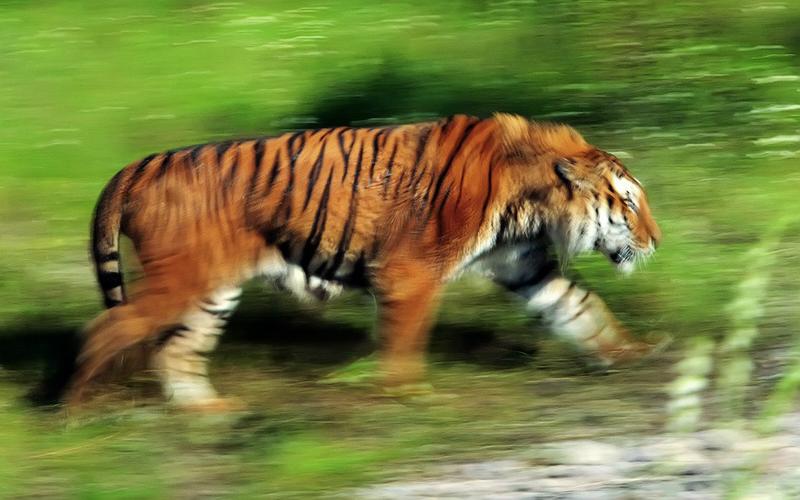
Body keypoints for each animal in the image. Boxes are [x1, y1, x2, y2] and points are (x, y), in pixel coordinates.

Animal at [68, 113, 662, 408]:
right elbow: (405, 337)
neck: (532, 204)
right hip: (181, 281)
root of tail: (137, 166)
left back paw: (207, 413)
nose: (657, 241)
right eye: (630, 203)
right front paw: (405, 392)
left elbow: (582, 309)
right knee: (105, 328)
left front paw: (635, 354)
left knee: (176, 351)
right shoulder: (411, 272)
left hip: (209, 291)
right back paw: (76, 415)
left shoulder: (526, 268)